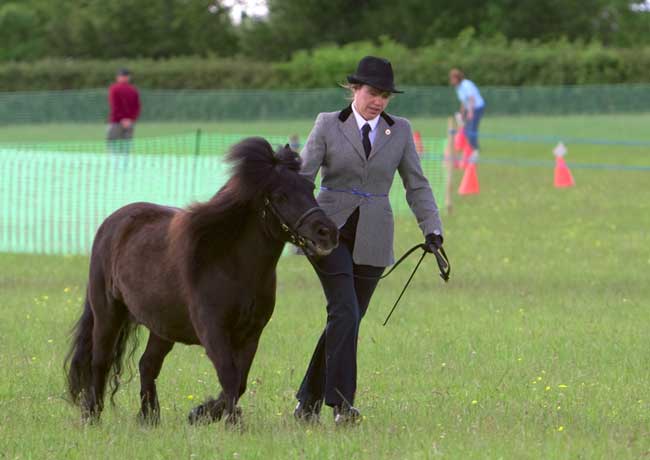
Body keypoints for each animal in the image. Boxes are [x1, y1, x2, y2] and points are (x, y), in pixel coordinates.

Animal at [65, 138, 336, 426]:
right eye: (280, 195)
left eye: (310, 187)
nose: (327, 232)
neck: (232, 266)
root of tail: (111, 223)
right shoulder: (213, 331)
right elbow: (229, 376)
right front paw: (230, 421)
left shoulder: (251, 334)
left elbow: (239, 382)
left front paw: (203, 413)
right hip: (108, 313)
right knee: (100, 361)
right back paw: (92, 415)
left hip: (163, 326)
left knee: (147, 364)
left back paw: (149, 418)